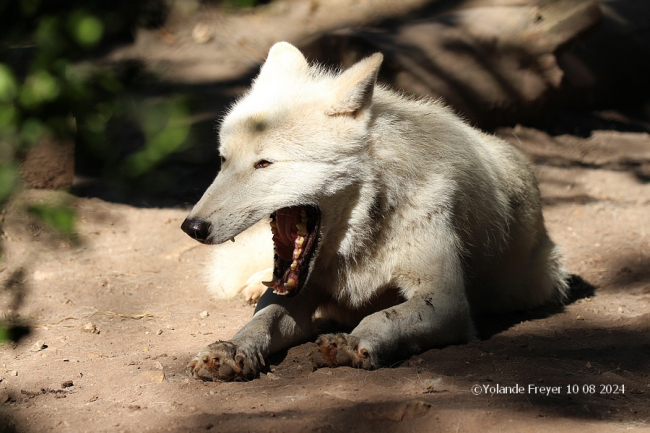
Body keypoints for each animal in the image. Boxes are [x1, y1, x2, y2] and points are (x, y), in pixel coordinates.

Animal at [180, 40, 564, 378]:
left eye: (264, 164)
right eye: (223, 160)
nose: (192, 227)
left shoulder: (447, 302)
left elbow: (383, 316)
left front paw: (353, 343)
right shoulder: (297, 297)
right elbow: (261, 320)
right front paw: (230, 349)